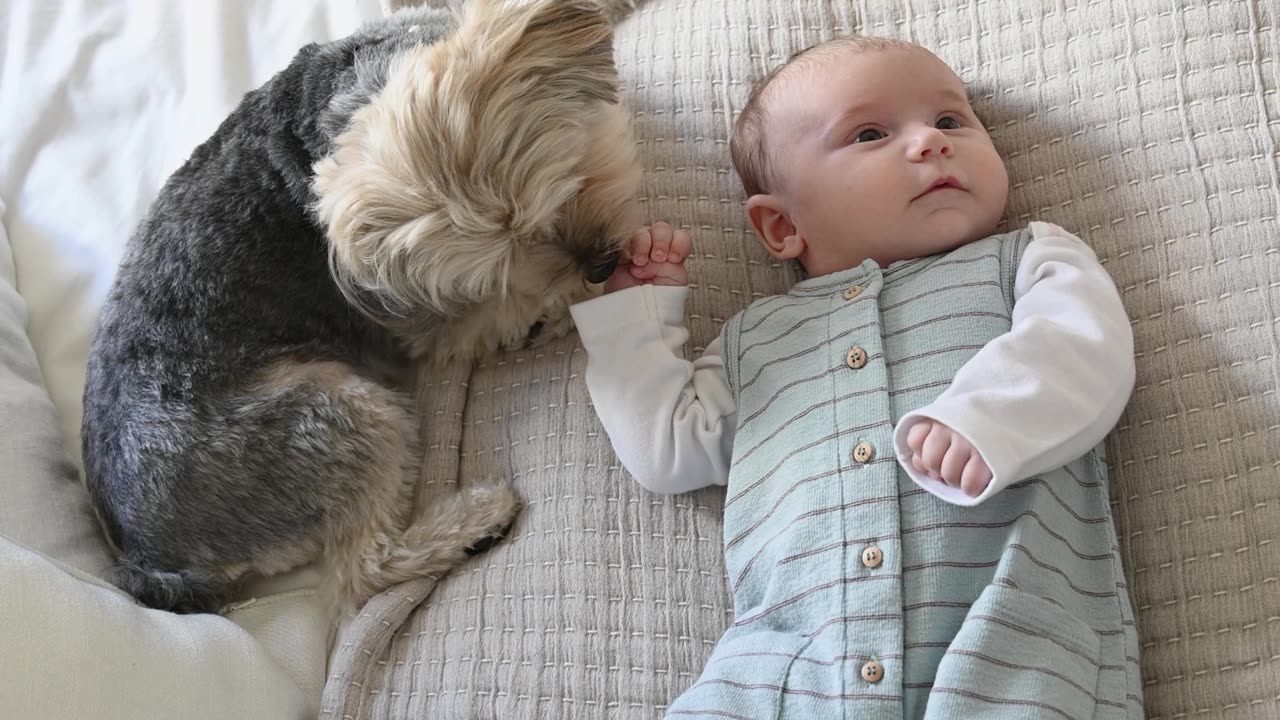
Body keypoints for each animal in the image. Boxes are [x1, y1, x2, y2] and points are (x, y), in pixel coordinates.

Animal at [80, 0, 640, 609]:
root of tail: (147, 559)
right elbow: (496, 312)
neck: (354, 96)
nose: (601, 264)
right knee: (363, 569)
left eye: (568, 182)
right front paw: (574, 301)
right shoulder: (424, 323)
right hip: (335, 415)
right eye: (503, 259)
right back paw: (475, 521)